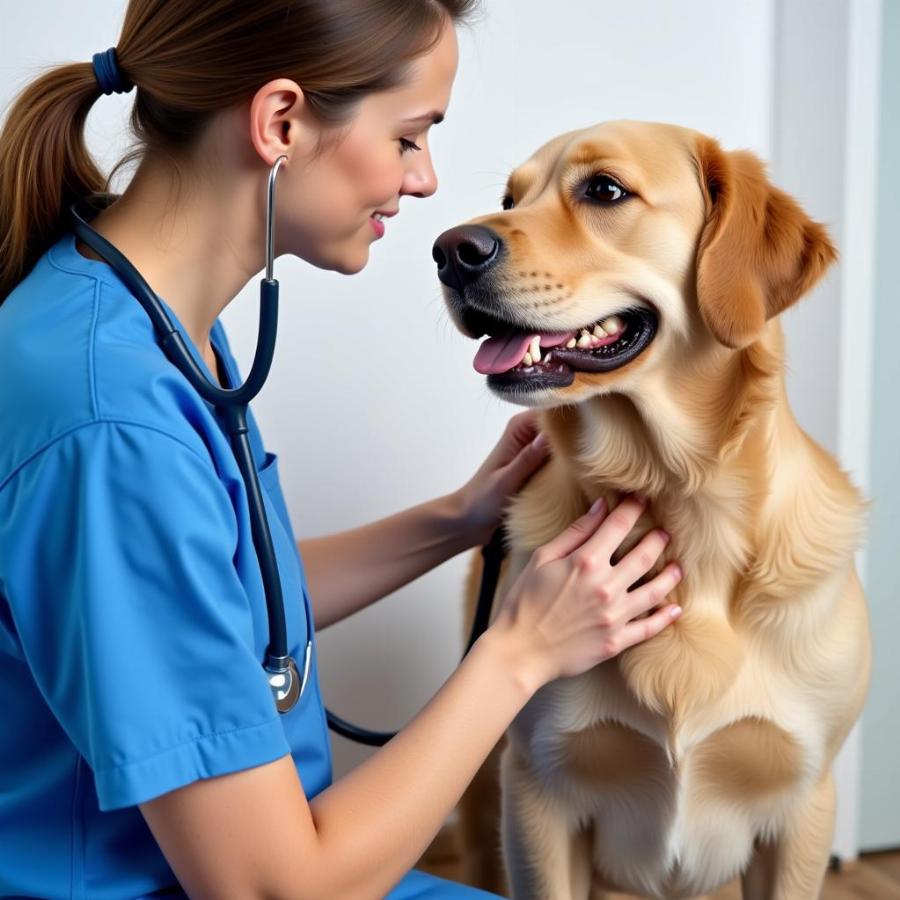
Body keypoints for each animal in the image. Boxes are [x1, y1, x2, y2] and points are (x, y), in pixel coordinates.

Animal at [434, 121, 872, 900]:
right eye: (511, 199)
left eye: (604, 190)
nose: (449, 251)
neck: (679, 494)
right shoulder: (538, 793)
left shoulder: (802, 806)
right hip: (483, 780)